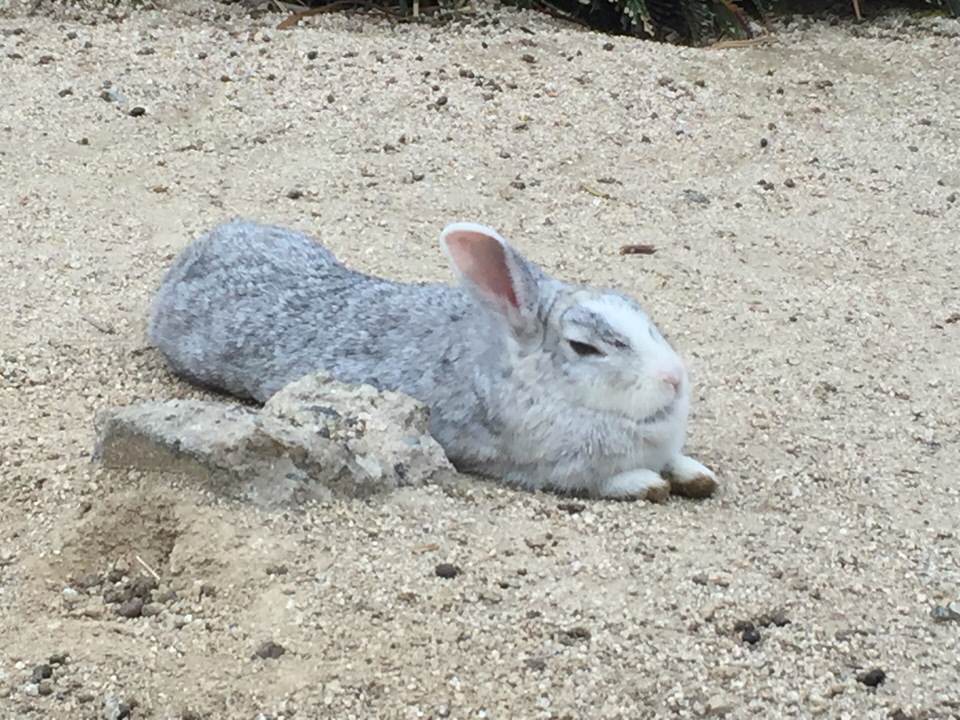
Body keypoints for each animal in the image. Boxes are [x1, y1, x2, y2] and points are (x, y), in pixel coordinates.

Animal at [150, 219, 716, 500]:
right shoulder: (537, 465)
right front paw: (649, 485)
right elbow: (608, 480)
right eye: (584, 347)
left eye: (639, 311)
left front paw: (698, 476)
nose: (674, 379)